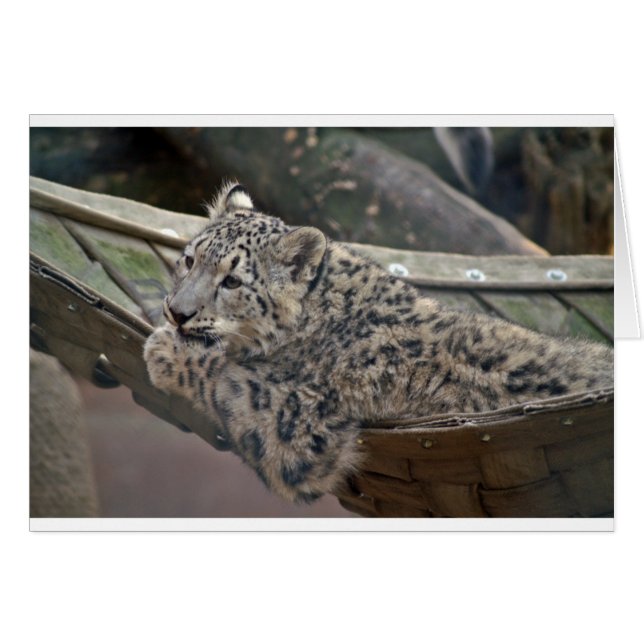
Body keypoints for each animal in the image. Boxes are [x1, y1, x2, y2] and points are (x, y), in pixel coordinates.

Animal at [144, 182, 614, 503]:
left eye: (232, 281)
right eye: (189, 259)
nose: (177, 312)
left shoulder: (296, 423)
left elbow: (225, 378)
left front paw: (164, 350)